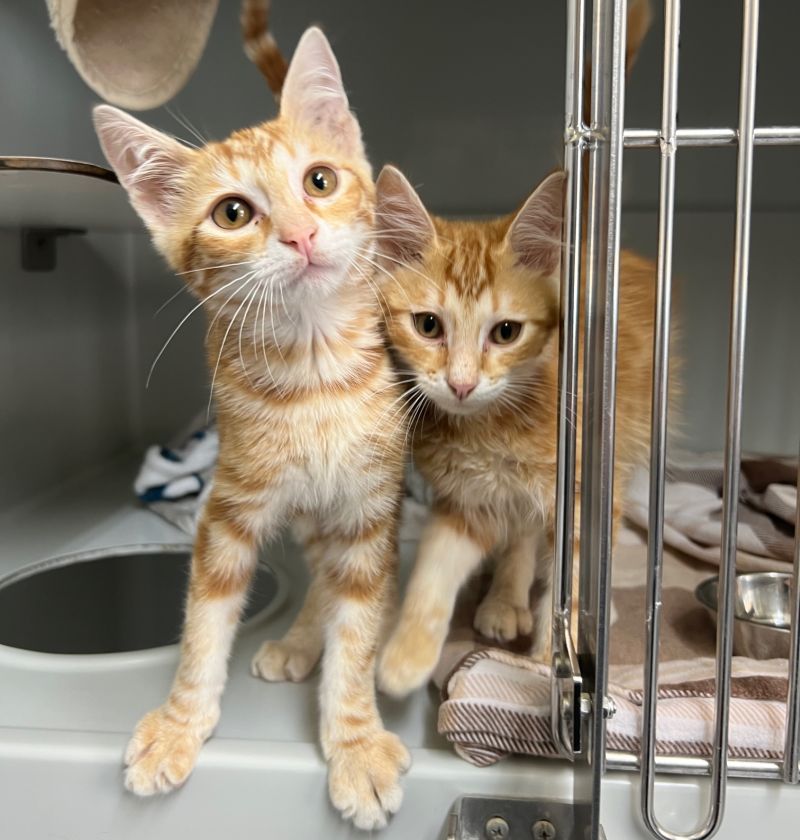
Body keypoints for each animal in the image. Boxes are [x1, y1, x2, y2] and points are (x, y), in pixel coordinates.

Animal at [94, 29, 412, 832]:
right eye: (232, 213)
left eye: (321, 181)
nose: (301, 235)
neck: (316, 377)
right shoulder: (229, 506)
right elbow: (204, 623)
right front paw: (180, 723)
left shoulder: (369, 507)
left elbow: (358, 628)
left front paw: (355, 741)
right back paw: (297, 641)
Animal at [372, 167, 660, 700]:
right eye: (428, 325)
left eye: (506, 332)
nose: (461, 384)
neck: (493, 428)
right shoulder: (468, 500)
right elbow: (435, 568)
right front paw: (406, 656)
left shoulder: (584, 494)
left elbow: (574, 581)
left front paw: (554, 664)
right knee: (523, 530)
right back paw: (505, 598)